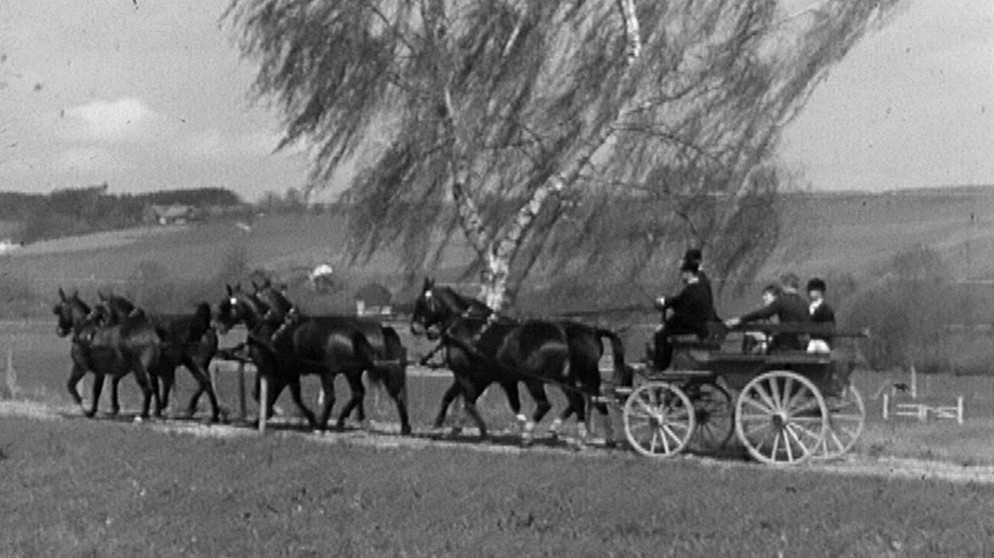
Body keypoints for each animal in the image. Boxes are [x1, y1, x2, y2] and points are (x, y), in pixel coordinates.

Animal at [53, 288, 159, 420]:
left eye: (60, 310)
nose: (59, 330)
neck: (86, 331)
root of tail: (152, 336)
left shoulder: (80, 367)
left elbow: (71, 386)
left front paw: (85, 409)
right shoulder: (101, 371)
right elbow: (97, 390)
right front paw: (94, 410)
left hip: (138, 369)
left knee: (148, 389)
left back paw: (143, 414)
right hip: (150, 370)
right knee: (155, 388)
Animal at [410, 280, 588, 446]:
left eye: (420, 302)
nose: (414, 328)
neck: (466, 328)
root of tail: (563, 336)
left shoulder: (464, 376)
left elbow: (469, 403)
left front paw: (484, 432)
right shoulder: (482, 379)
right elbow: (454, 398)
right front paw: (442, 426)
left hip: (534, 381)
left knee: (545, 405)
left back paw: (530, 436)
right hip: (563, 381)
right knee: (577, 402)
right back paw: (576, 437)